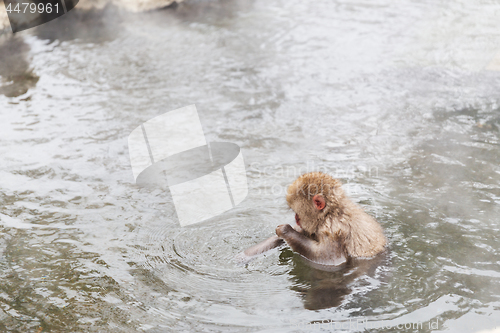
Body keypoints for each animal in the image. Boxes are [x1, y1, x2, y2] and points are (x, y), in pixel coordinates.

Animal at [239, 171, 386, 264]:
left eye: (296, 212)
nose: (296, 218)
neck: (330, 213)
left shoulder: (332, 229)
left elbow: (330, 259)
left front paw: (286, 230)